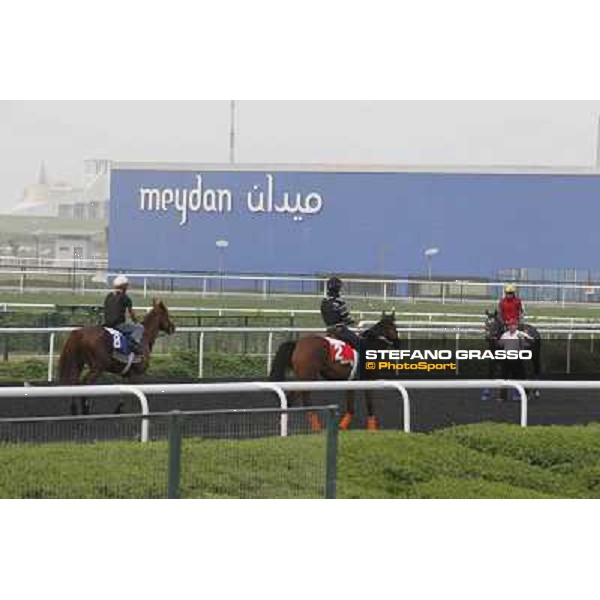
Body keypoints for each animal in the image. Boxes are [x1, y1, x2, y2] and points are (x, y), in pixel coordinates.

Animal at [270, 314, 400, 432]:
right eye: (394, 327)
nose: (398, 344)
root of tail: (298, 343)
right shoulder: (368, 381)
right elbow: (369, 404)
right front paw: (372, 429)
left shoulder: (350, 383)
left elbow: (350, 407)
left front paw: (342, 426)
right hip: (308, 378)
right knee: (302, 400)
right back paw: (316, 428)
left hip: (300, 376)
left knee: (290, 399)